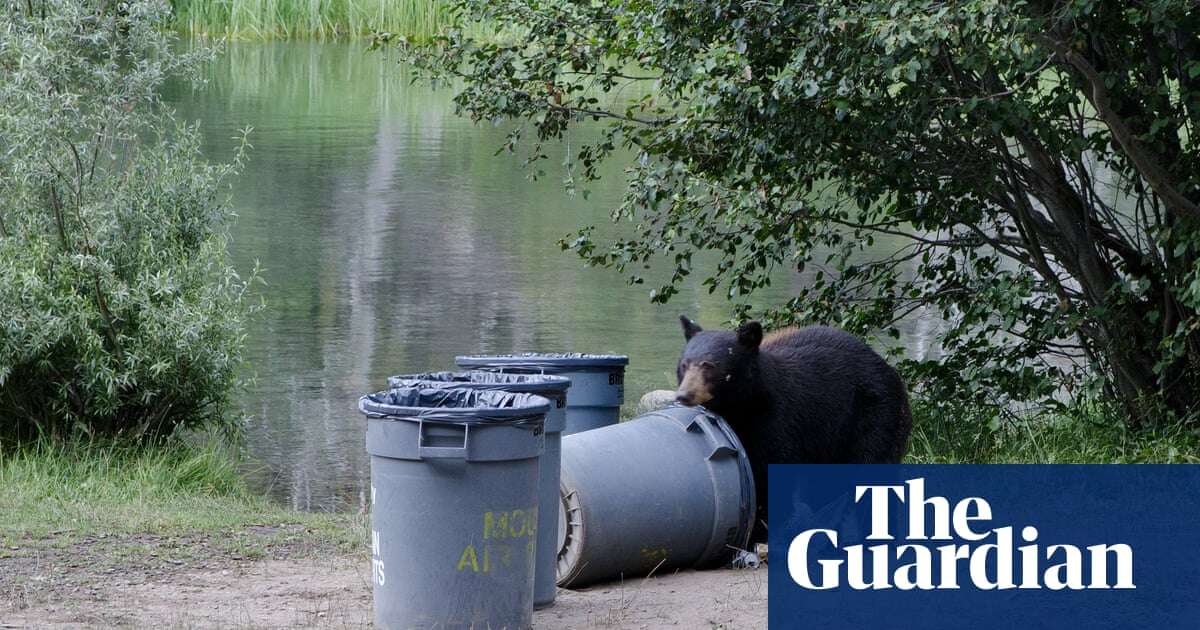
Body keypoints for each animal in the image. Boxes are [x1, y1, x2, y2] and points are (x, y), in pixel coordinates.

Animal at [676, 314, 907, 540]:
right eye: (684, 365)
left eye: (709, 365)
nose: (684, 395)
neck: (743, 406)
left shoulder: (778, 422)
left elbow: (771, 474)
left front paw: (760, 531)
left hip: (874, 415)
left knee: (873, 469)